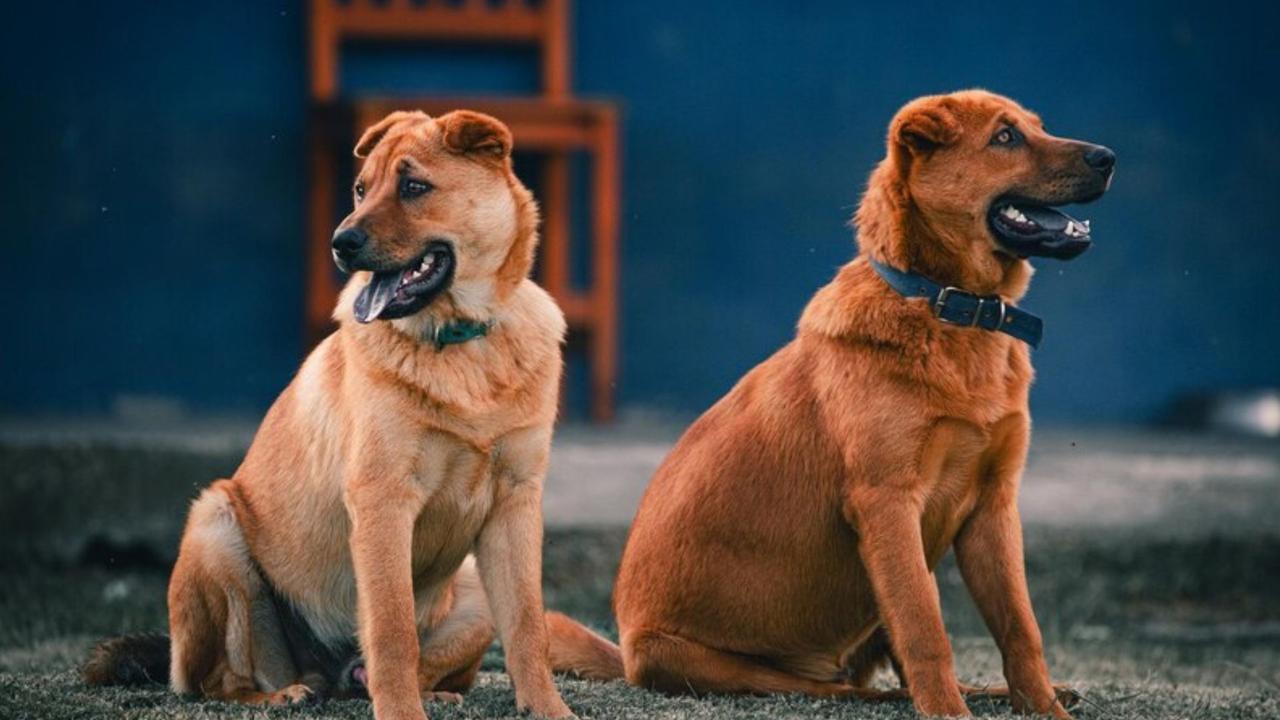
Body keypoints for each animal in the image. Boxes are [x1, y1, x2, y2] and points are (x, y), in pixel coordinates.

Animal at [82, 109, 573, 717]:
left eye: (414, 187)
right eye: (361, 189)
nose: (340, 243)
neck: (461, 343)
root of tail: (330, 668)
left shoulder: (515, 505)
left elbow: (528, 625)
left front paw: (548, 708)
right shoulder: (383, 501)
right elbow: (391, 628)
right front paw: (401, 711)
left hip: (474, 591)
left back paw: (429, 691)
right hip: (215, 527)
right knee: (217, 680)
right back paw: (281, 693)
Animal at [545, 88, 1116, 712]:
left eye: (1038, 126)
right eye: (1005, 137)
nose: (1108, 157)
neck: (948, 308)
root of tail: (625, 657)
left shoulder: (993, 506)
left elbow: (1020, 628)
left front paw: (1043, 707)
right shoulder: (888, 503)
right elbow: (926, 633)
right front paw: (948, 713)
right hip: (729, 663)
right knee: (845, 687)